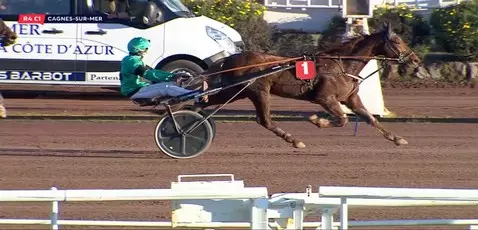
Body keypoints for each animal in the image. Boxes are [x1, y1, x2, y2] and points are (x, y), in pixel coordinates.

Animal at [192, 22, 420, 149]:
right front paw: (317, 120)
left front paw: (397, 139)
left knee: (202, 102)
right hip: (256, 91)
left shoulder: (351, 99)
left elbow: (371, 119)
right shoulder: (325, 98)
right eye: (397, 41)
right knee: (265, 120)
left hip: (237, 91)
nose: (415, 59)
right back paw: (294, 140)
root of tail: (232, 57)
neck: (342, 64)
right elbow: (342, 120)